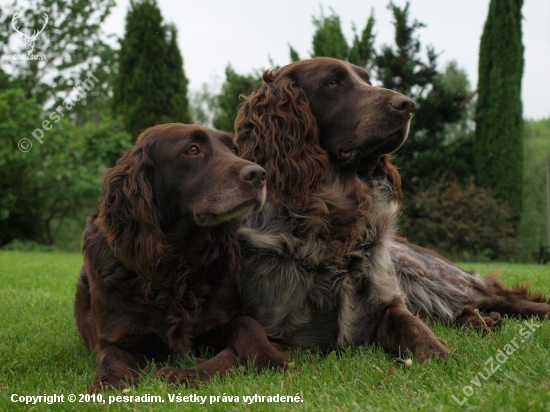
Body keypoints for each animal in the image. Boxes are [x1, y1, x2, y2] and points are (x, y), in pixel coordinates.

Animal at [75, 123, 286, 392]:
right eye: (192, 149)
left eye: (234, 149)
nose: (259, 174)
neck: (179, 260)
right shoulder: (117, 338)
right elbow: (111, 361)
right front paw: (107, 385)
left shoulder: (222, 320)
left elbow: (245, 329)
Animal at [234, 57, 550, 360]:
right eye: (333, 82)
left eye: (367, 79)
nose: (408, 105)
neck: (334, 214)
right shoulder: (279, 330)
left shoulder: (387, 302)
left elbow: (421, 335)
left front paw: (445, 358)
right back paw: (480, 321)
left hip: (433, 278)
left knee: (502, 297)